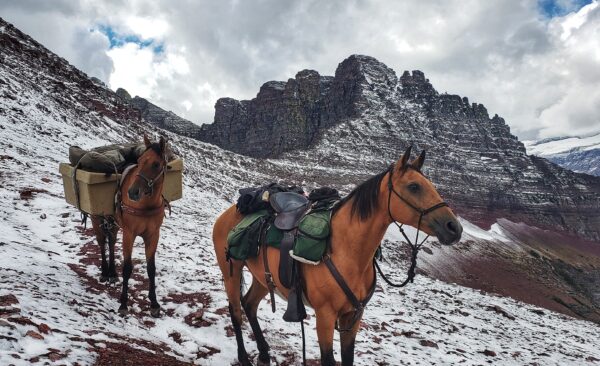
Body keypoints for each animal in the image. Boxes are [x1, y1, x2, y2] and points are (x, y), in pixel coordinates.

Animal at [91, 134, 171, 318]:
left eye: (156, 164)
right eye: (139, 161)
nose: (133, 192)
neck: (145, 205)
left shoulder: (153, 235)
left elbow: (151, 268)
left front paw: (154, 304)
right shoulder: (129, 233)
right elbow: (127, 268)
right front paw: (123, 304)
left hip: (112, 223)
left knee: (111, 242)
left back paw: (113, 273)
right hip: (96, 219)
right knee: (102, 243)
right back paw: (105, 273)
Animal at [212, 147, 464, 366]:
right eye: (414, 186)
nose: (454, 228)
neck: (347, 252)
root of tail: (229, 212)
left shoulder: (353, 317)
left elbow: (348, 358)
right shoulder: (325, 317)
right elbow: (329, 360)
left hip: (264, 278)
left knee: (249, 305)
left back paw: (264, 354)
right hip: (231, 272)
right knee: (236, 310)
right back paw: (244, 357)